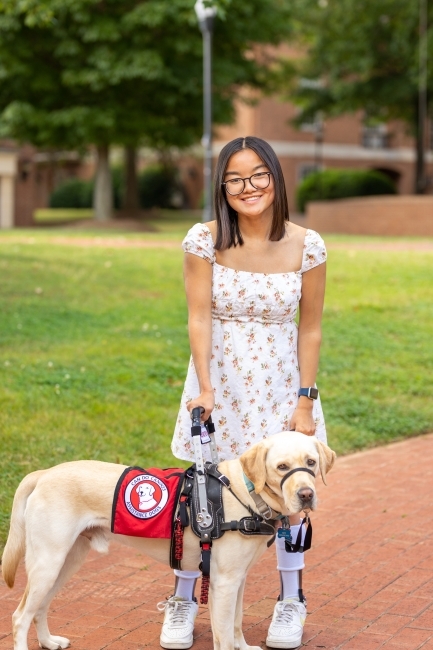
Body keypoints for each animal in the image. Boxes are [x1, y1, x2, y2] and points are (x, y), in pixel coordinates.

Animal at [1, 430, 336, 648]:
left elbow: (236, 624)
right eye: (281, 467)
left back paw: (48, 641)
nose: (306, 495)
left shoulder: (237, 580)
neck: (245, 493)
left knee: (39, 608)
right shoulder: (224, 583)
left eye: (311, 462)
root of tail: (44, 473)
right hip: (48, 562)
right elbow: (224, 635)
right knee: (19, 616)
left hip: (65, 562)